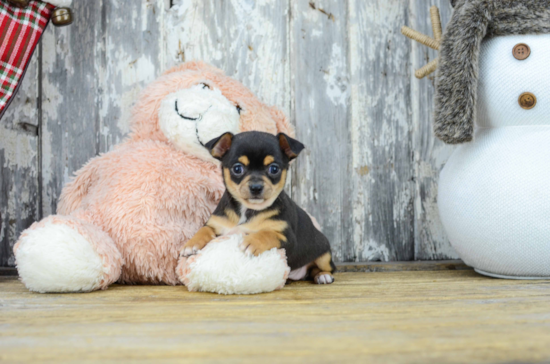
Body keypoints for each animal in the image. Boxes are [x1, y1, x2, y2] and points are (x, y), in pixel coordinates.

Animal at [181, 131, 336, 284]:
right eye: (237, 168)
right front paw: (191, 244)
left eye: (274, 169)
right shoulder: (216, 224)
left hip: (324, 255)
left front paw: (253, 241)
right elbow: (204, 229)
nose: (256, 187)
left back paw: (323, 276)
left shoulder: (288, 239)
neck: (247, 210)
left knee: (326, 268)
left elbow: (268, 233)